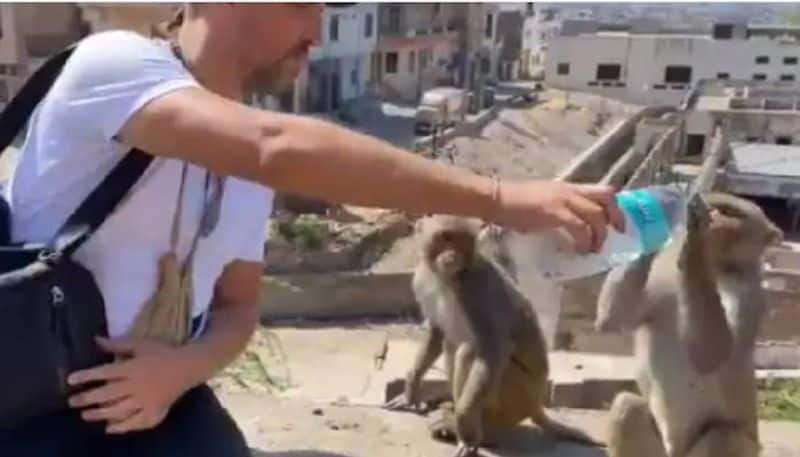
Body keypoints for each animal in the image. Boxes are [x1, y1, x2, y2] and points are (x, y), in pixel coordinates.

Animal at [382, 215, 600, 456]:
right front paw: (410, 389)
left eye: (463, 241)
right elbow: (436, 332)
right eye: (446, 237)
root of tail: (536, 403)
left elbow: (494, 348)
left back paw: (477, 429)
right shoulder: (422, 280)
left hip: (518, 393)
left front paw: (465, 424)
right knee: (452, 344)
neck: (447, 279)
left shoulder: (477, 289)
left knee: (468, 351)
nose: (453, 256)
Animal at [596, 191, 784, 456]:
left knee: (722, 436)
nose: (713, 217)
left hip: (744, 447)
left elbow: (713, 355)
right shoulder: (660, 278)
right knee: (627, 405)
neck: (717, 268)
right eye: (716, 206)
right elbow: (613, 319)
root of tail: (674, 450)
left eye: (732, 212)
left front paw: (695, 247)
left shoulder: (749, 292)